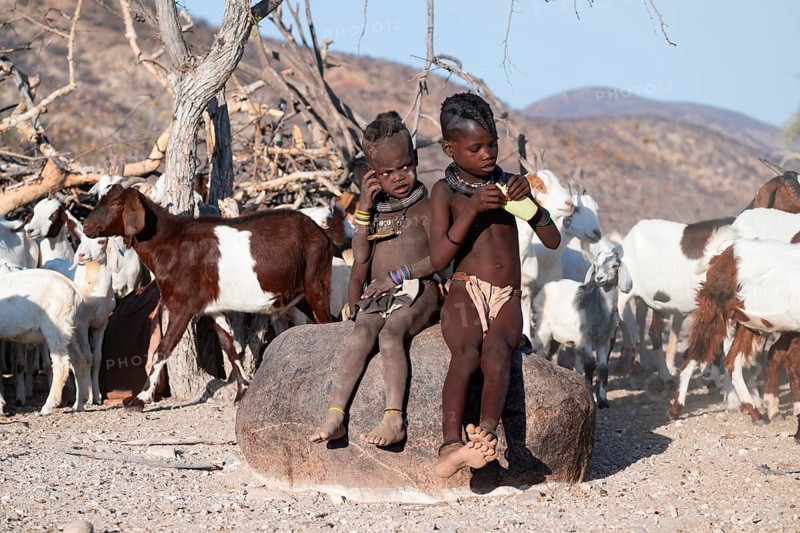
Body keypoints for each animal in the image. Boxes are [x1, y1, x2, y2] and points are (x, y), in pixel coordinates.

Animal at [82, 184, 334, 410]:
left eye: (115, 203)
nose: (86, 226)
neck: (170, 242)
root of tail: (321, 234)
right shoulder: (212, 308)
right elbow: (228, 346)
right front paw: (242, 392)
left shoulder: (182, 307)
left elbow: (162, 349)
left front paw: (139, 399)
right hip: (299, 295)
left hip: (316, 283)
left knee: (328, 323)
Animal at [532, 250, 632, 408]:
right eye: (595, 265)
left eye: (615, 265)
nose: (599, 278)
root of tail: (547, 286)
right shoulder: (587, 336)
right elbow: (590, 363)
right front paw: (589, 391)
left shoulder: (604, 339)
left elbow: (603, 368)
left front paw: (603, 400)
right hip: (543, 326)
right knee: (539, 349)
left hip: (558, 336)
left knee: (551, 353)